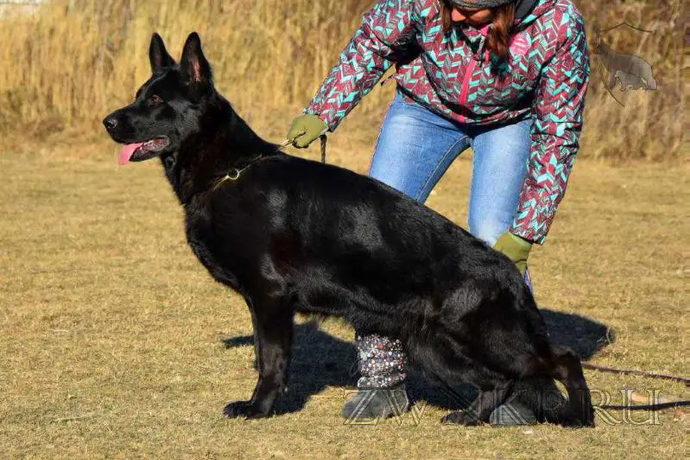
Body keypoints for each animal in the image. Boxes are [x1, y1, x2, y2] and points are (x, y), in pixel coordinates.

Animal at [102, 33, 592, 428]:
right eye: (139, 95)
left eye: (155, 102)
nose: (108, 121)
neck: (230, 171)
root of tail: (507, 270)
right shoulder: (260, 303)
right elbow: (262, 355)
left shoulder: (270, 298)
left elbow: (271, 362)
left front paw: (259, 409)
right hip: (436, 347)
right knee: (499, 382)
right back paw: (470, 417)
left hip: (483, 339)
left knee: (560, 361)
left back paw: (581, 414)